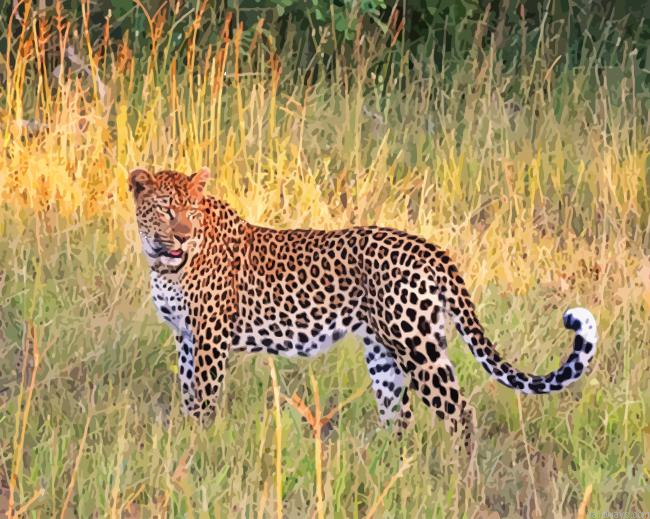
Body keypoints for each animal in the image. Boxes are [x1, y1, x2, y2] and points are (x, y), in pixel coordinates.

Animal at [129, 167, 598, 454]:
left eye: (191, 211)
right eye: (167, 210)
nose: (183, 236)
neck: (163, 262)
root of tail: (432, 250)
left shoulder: (210, 336)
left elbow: (205, 396)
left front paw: (200, 441)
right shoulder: (186, 337)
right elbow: (188, 391)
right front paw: (186, 434)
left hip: (416, 345)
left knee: (459, 411)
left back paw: (460, 478)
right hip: (385, 351)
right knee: (399, 416)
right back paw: (390, 469)